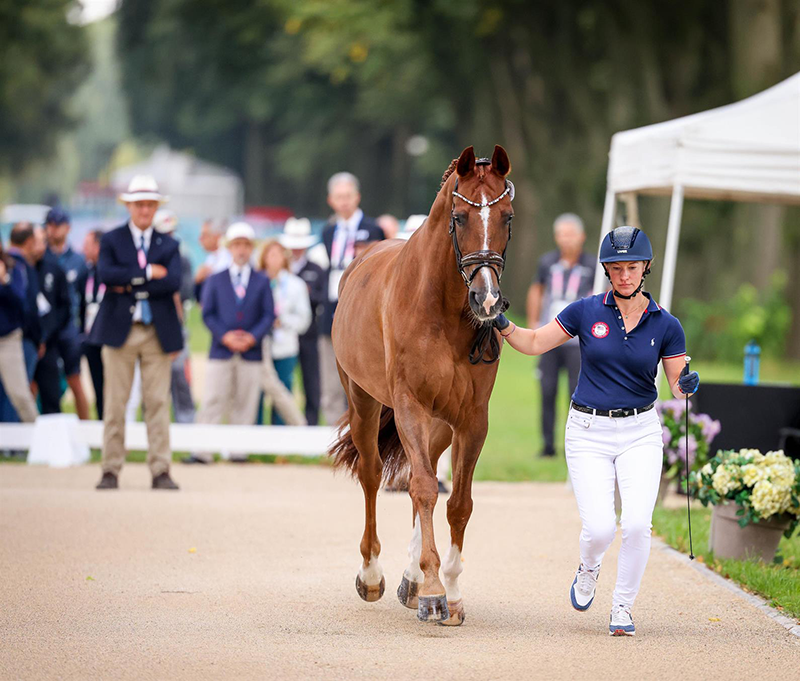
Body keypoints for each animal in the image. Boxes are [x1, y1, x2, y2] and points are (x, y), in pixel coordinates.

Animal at [330, 146, 512, 624]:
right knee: (375, 474)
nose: (487, 300)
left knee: (422, 472)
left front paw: (449, 589)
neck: (442, 309)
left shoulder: (471, 419)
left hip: (440, 424)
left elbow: (457, 502)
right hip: (364, 401)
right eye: (460, 218)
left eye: (506, 216)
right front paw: (433, 591)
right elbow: (425, 488)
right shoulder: (409, 404)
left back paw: (410, 579)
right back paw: (373, 576)